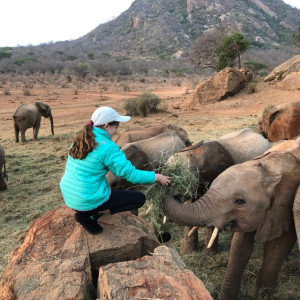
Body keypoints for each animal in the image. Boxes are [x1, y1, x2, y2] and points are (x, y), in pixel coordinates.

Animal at [163, 139, 300, 298]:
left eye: (239, 201)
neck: (269, 167)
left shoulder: (285, 205)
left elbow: (276, 247)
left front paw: (261, 296)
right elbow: (239, 248)